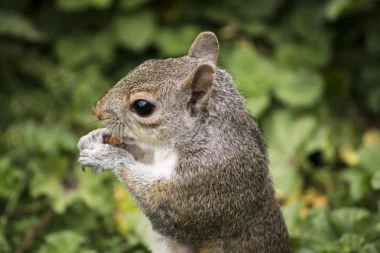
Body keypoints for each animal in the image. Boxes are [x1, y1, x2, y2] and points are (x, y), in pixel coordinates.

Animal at [77, 32, 290, 253]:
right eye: (147, 63)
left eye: (143, 106)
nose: (97, 111)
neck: (194, 137)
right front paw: (95, 137)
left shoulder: (204, 182)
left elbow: (160, 206)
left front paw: (108, 157)